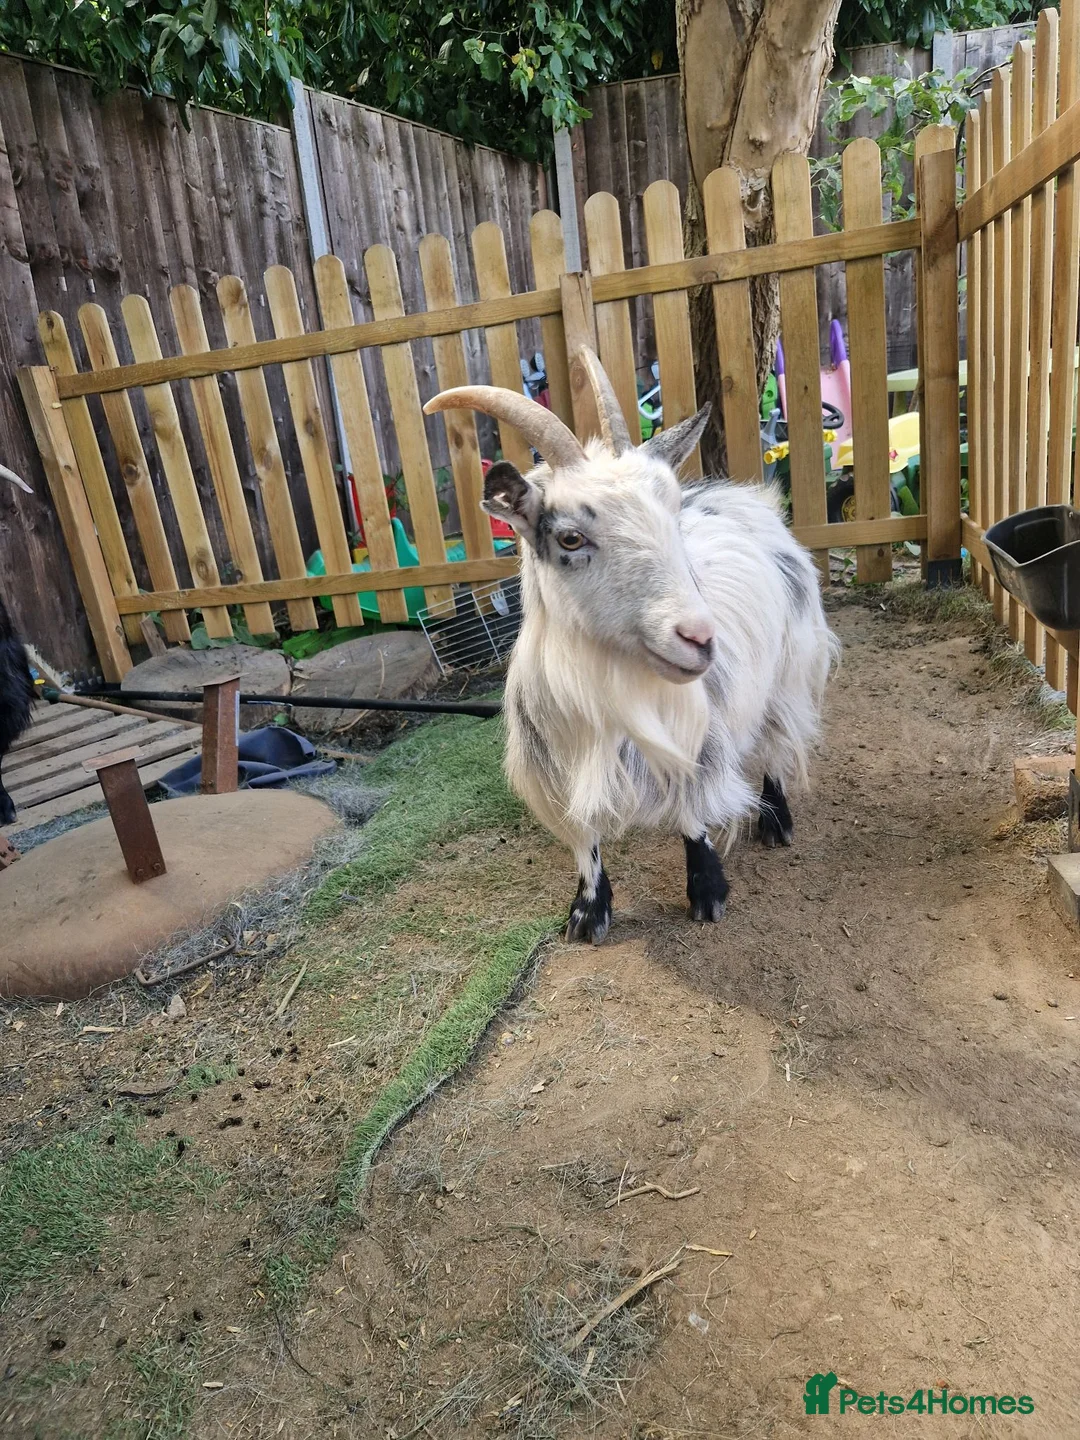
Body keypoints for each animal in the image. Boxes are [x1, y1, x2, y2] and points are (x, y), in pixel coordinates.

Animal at [424, 350, 837, 944]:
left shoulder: (696, 737)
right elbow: (583, 835)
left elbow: (692, 810)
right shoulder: (559, 765)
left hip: (789, 665)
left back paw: (776, 819)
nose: (699, 637)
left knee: (778, 738)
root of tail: (738, 494)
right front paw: (588, 911)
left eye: (671, 516)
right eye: (570, 537)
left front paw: (707, 890)